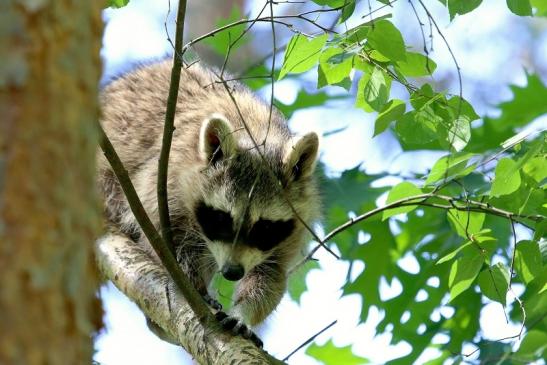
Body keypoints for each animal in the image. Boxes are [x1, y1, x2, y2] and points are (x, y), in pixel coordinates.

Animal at [98, 59, 322, 344]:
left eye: (264, 227)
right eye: (221, 218)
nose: (232, 272)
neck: (257, 135)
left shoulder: (294, 224)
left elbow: (271, 273)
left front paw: (243, 312)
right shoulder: (164, 180)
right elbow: (163, 243)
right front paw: (193, 283)